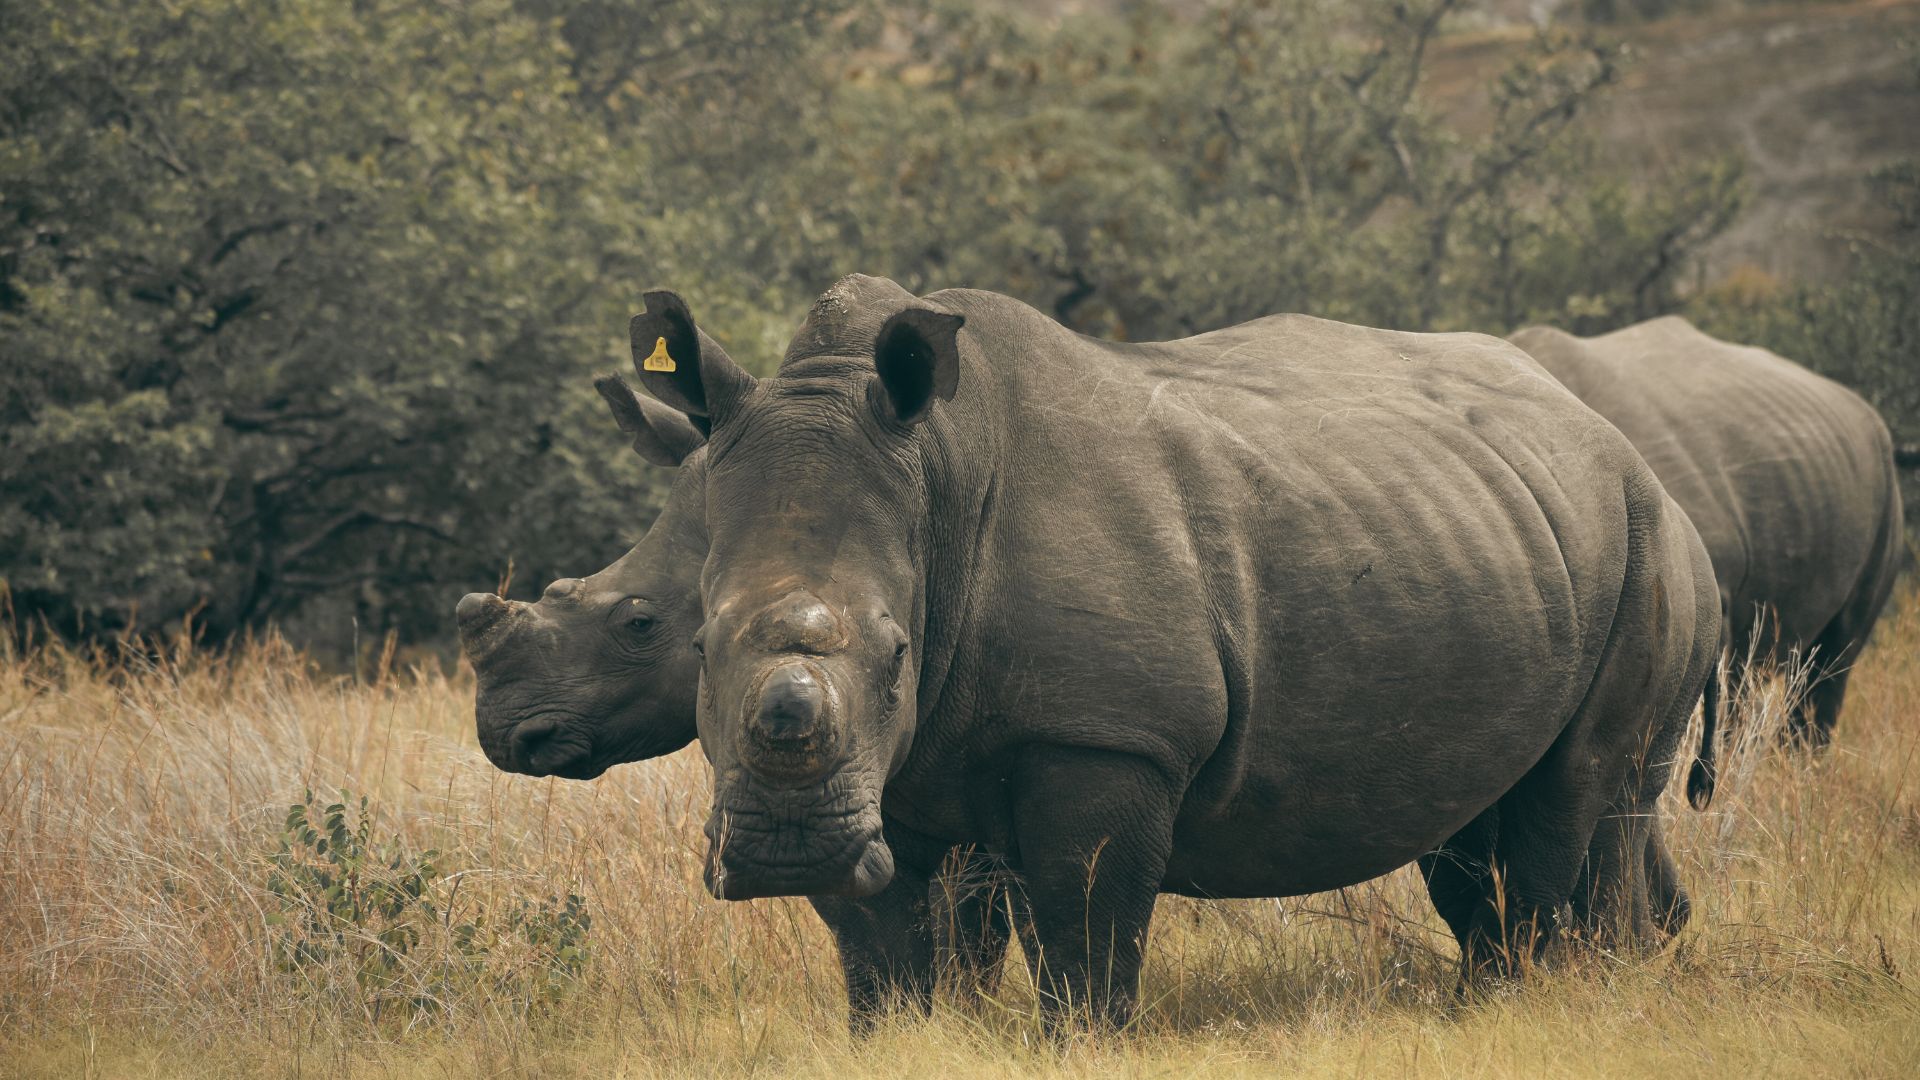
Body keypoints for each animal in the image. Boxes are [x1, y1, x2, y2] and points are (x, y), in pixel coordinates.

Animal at [628, 274, 1722, 1028]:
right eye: (696, 644)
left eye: (899, 652)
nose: (783, 849)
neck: (935, 475)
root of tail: (1618, 444)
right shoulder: (878, 776)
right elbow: (879, 942)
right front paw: (895, 1038)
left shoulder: (1109, 736)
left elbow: (1085, 928)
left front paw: (1082, 1043)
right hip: (1504, 533)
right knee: (1481, 825)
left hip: (1648, 543)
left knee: (1574, 796)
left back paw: (1538, 1001)